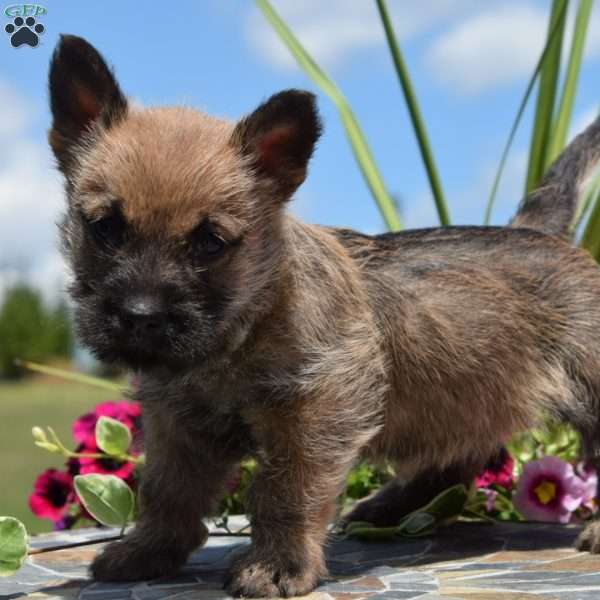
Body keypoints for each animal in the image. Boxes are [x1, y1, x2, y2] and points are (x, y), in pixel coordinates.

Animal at [48, 35, 600, 596]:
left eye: (210, 242)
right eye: (105, 227)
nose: (140, 316)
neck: (245, 327)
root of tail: (539, 230)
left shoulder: (314, 416)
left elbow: (284, 493)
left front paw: (278, 565)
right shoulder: (177, 424)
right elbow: (166, 492)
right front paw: (149, 550)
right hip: (466, 394)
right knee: (461, 453)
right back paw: (393, 507)